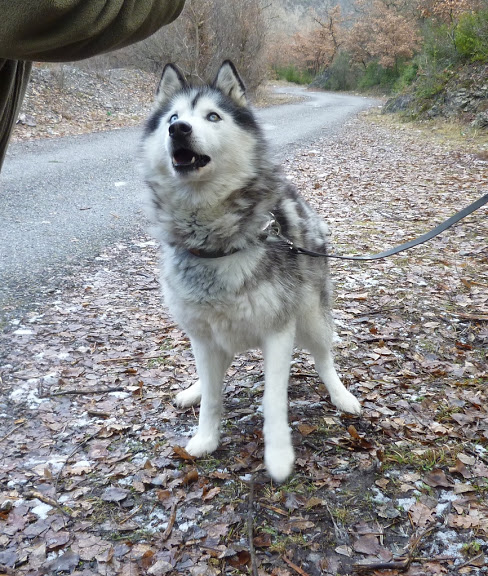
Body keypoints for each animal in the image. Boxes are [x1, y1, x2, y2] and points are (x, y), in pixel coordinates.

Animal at [139, 60, 360, 482]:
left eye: (213, 116)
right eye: (173, 117)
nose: (179, 129)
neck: (215, 244)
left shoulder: (279, 332)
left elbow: (274, 401)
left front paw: (279, 457)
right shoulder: (203, 337)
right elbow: (212, 398)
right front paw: (206, 438)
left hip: (311, 317)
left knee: (324, 359)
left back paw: (341, 395)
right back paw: (193, 390)